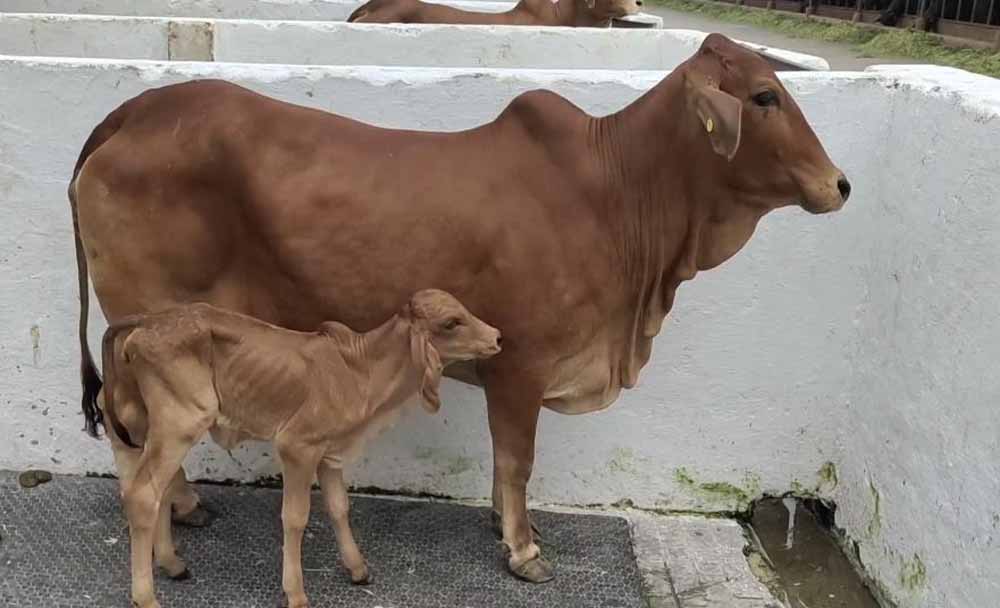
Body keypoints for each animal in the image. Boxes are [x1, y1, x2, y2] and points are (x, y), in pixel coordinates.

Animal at [101, 291, 501, 608]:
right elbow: (295, 518)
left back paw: (171, 563)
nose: (497, 337)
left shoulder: (331, 451)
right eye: (452, 322)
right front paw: (295, 593)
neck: (361, 371)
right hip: (181, 421)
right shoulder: (297, 447)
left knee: (153, 488)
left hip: (138, 427)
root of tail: (147, 321)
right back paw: (146, 597)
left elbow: (339, 507)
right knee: (143, 494)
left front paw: (357, 568)